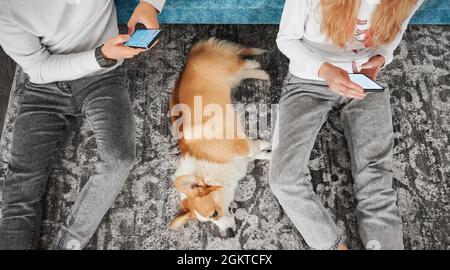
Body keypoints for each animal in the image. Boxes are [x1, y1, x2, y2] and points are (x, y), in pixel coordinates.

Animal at [169, 38, 270, 236]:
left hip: (227, 69)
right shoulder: (242, 156)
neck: (209, 168)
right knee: (243, 70)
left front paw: (270, 144)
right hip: (230, 79)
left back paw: (256, 64)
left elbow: (255, 147)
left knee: (241, 62)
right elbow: (259, 154)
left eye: (215, 213)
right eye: (210, 220)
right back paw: (261, 73)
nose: (229, 234)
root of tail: (193, 54)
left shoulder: (240, 143)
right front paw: (269, 153)